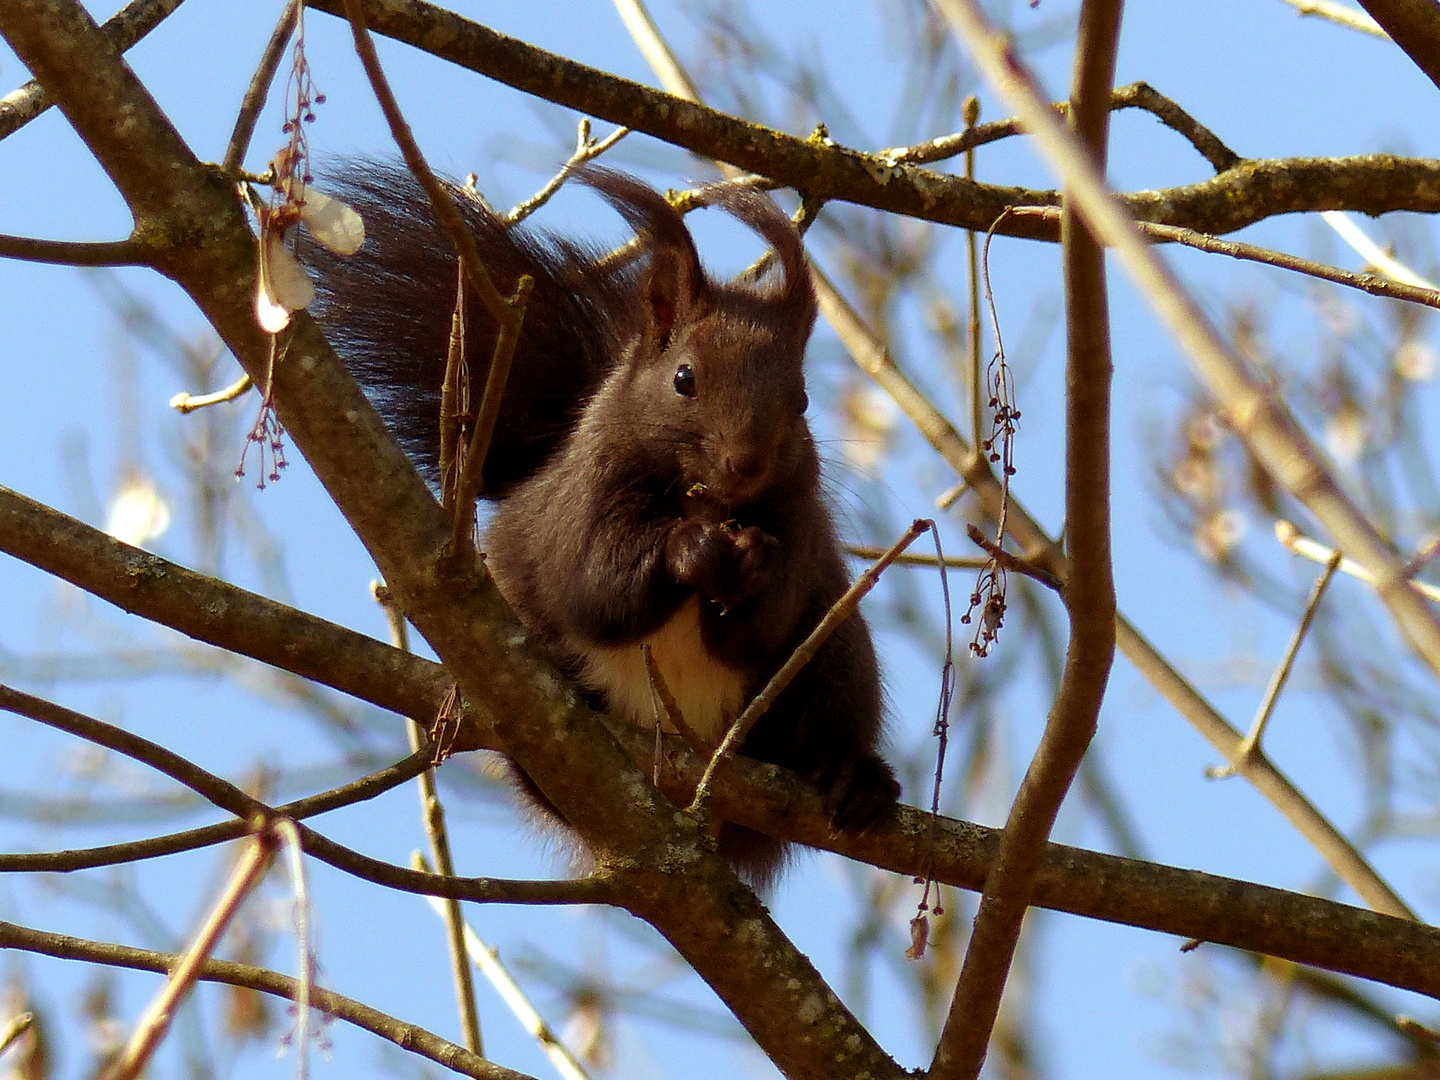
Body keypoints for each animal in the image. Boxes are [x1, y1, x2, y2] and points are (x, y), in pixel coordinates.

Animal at [306, 162, 898, 887]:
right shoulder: (583, 498)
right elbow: (596, 583)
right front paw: (687, 550)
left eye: (803, 400)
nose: (746, 462)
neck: (703, 500)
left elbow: (762, 626)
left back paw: (851, 776)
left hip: (836, 653)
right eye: (684, 378)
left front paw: (755, 561)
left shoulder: (801, 521)